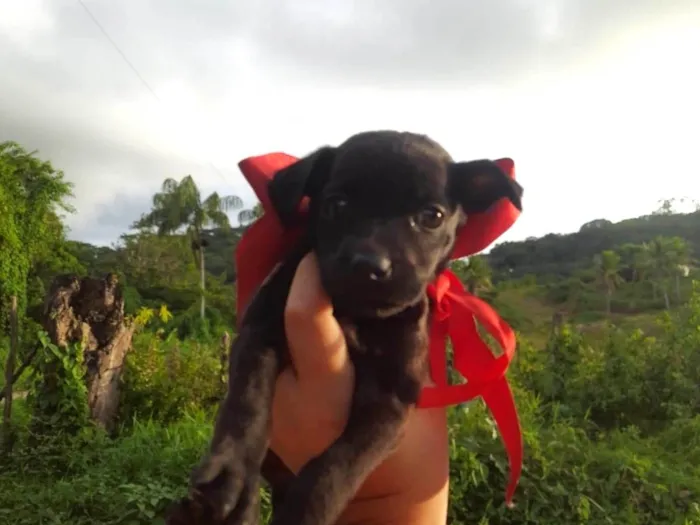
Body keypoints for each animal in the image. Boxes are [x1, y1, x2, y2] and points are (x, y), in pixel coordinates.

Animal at [167, 130, 524, 524]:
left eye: (432, 216)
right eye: (336, 204)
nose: (369, 265)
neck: (355, 313)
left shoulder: (391, 398)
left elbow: (334, 468)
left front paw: (304, 513)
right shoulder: (258, 335)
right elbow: (247, 406)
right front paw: (227, 473)